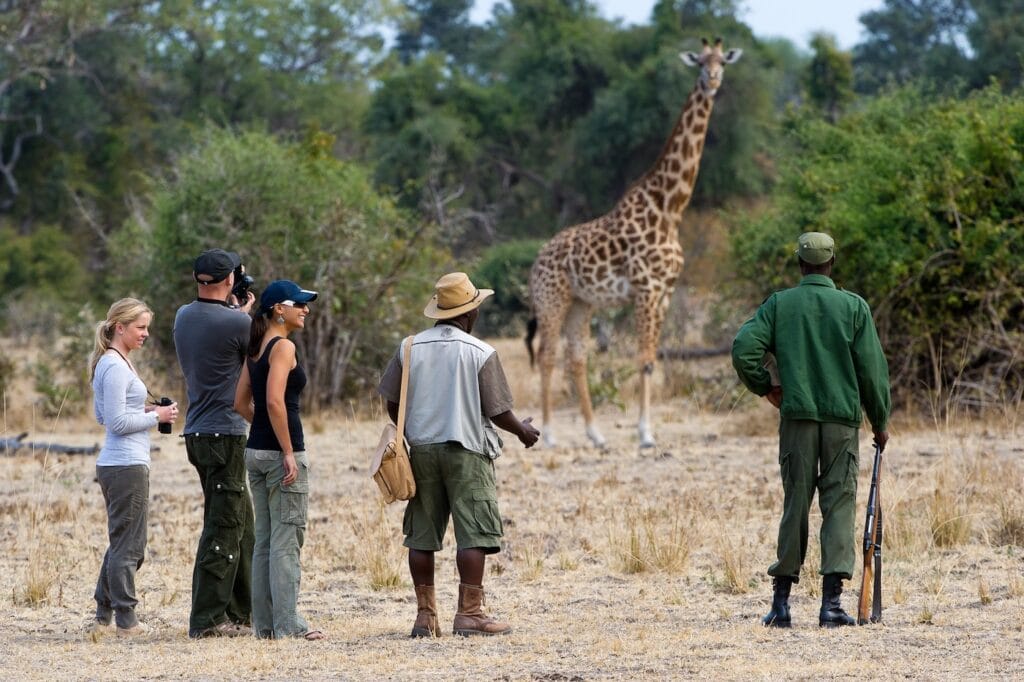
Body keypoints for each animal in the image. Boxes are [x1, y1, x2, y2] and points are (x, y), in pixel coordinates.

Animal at [525, 38, 742, 449]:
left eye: (723, 61)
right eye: (699, 62)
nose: (712, 80)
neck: (670, 208)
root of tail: (536, 260)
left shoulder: (665, 291)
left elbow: (651, 359)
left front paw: (644, 430)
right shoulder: (646, 288)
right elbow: (643, 359)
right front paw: (645, 434)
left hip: (581, 303)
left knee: (576, 357)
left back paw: (595, 434)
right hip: (552, 299)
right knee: (546, 354)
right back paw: (548, 434)